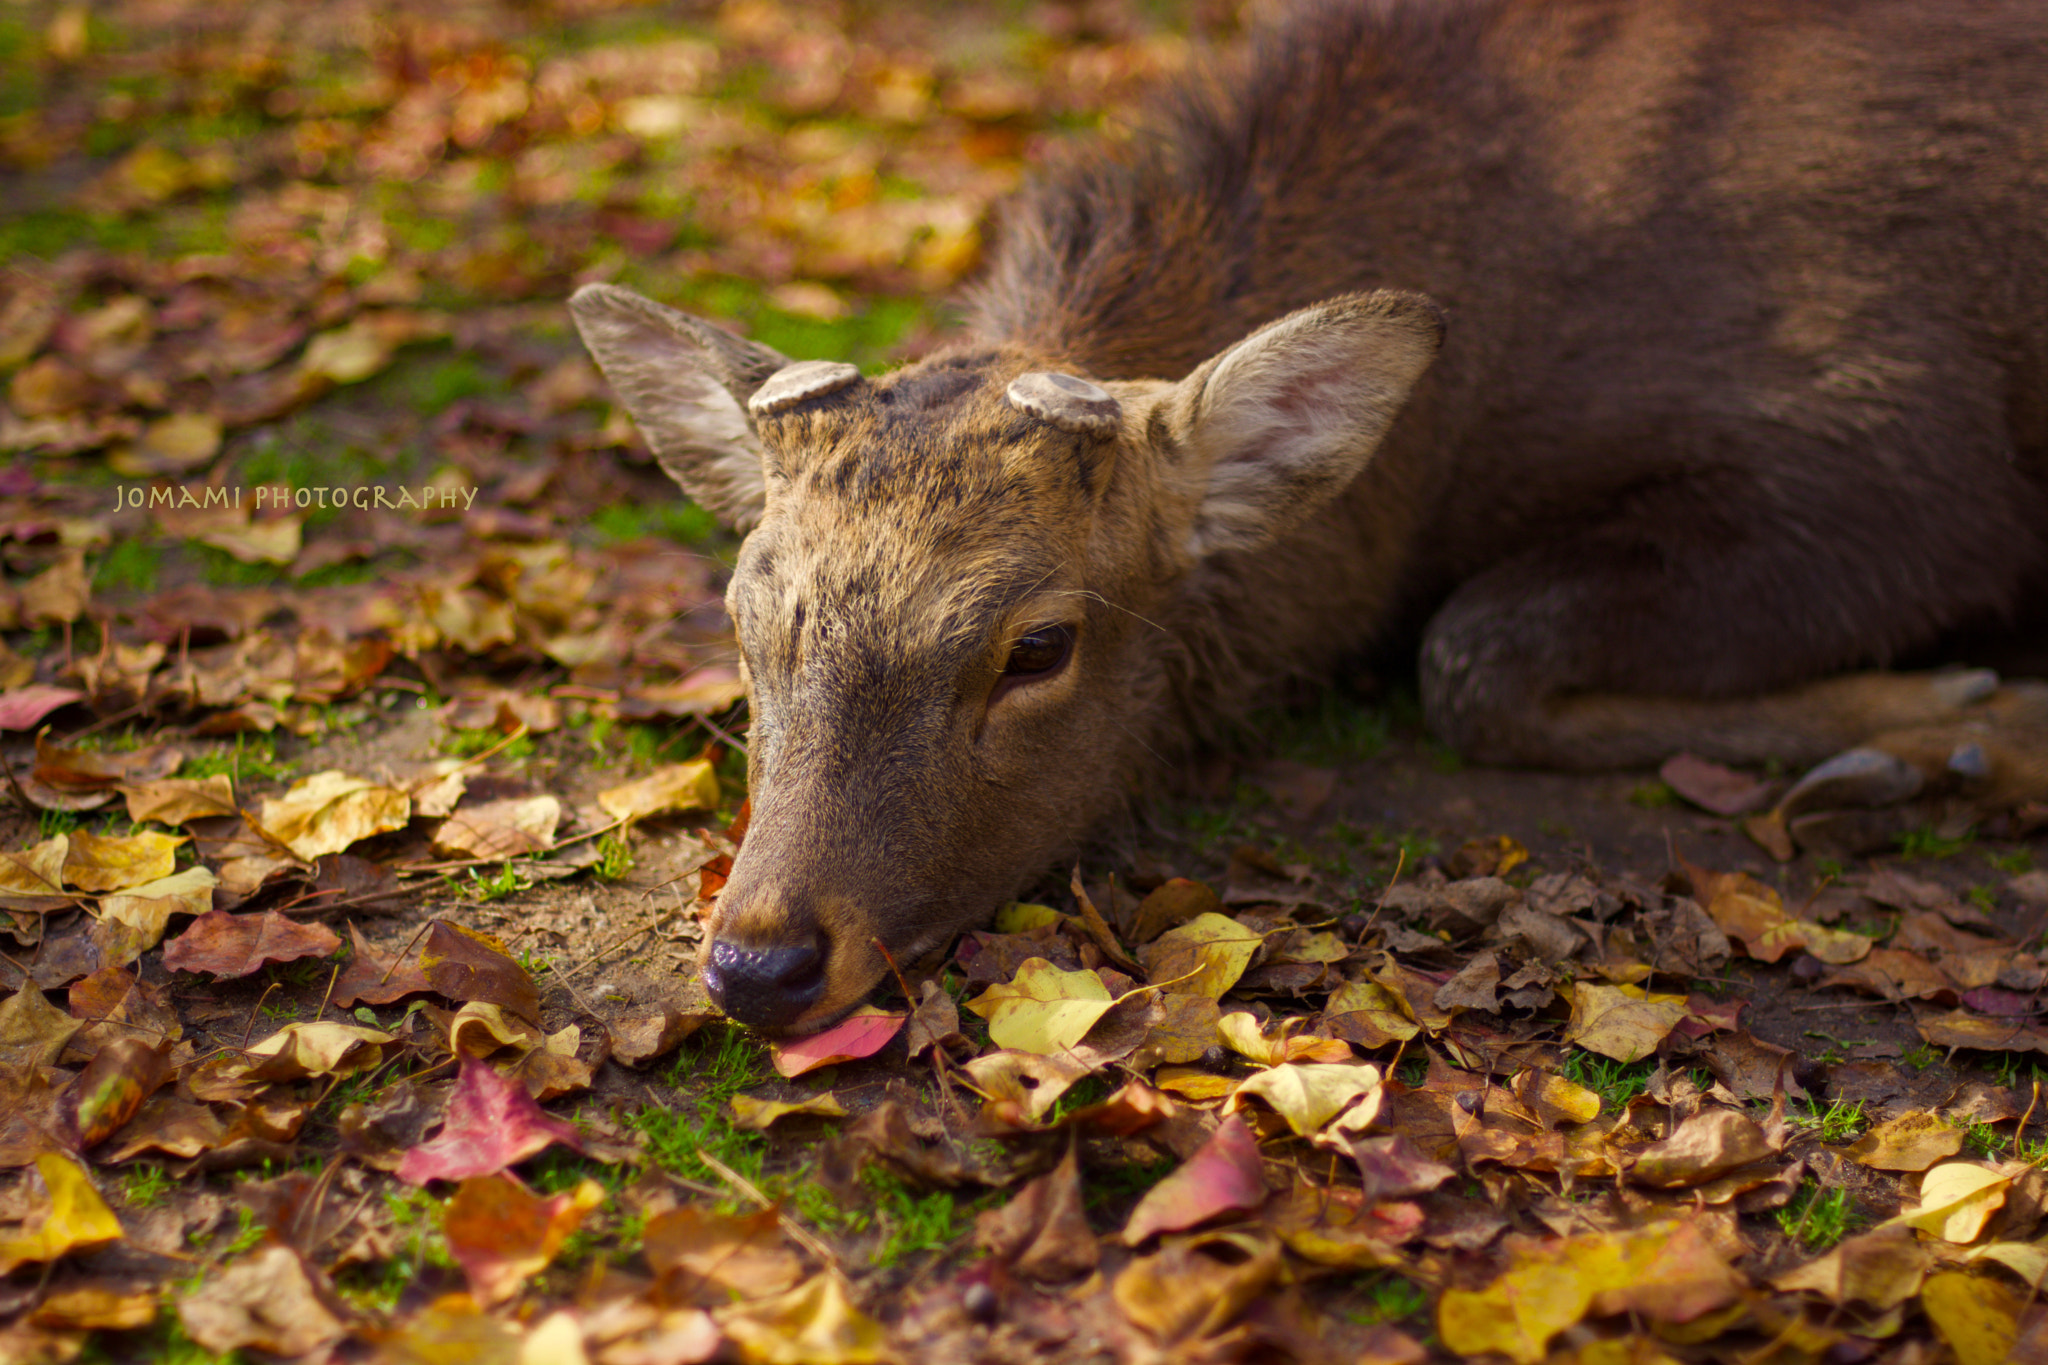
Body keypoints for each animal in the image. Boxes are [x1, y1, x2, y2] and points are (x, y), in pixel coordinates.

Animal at [573, 0, 2048, 1031]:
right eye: (744, 611)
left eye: (1037, 646)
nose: (759, 960)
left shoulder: (1911, 462)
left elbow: (1472, 653)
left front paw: (1959, 735)